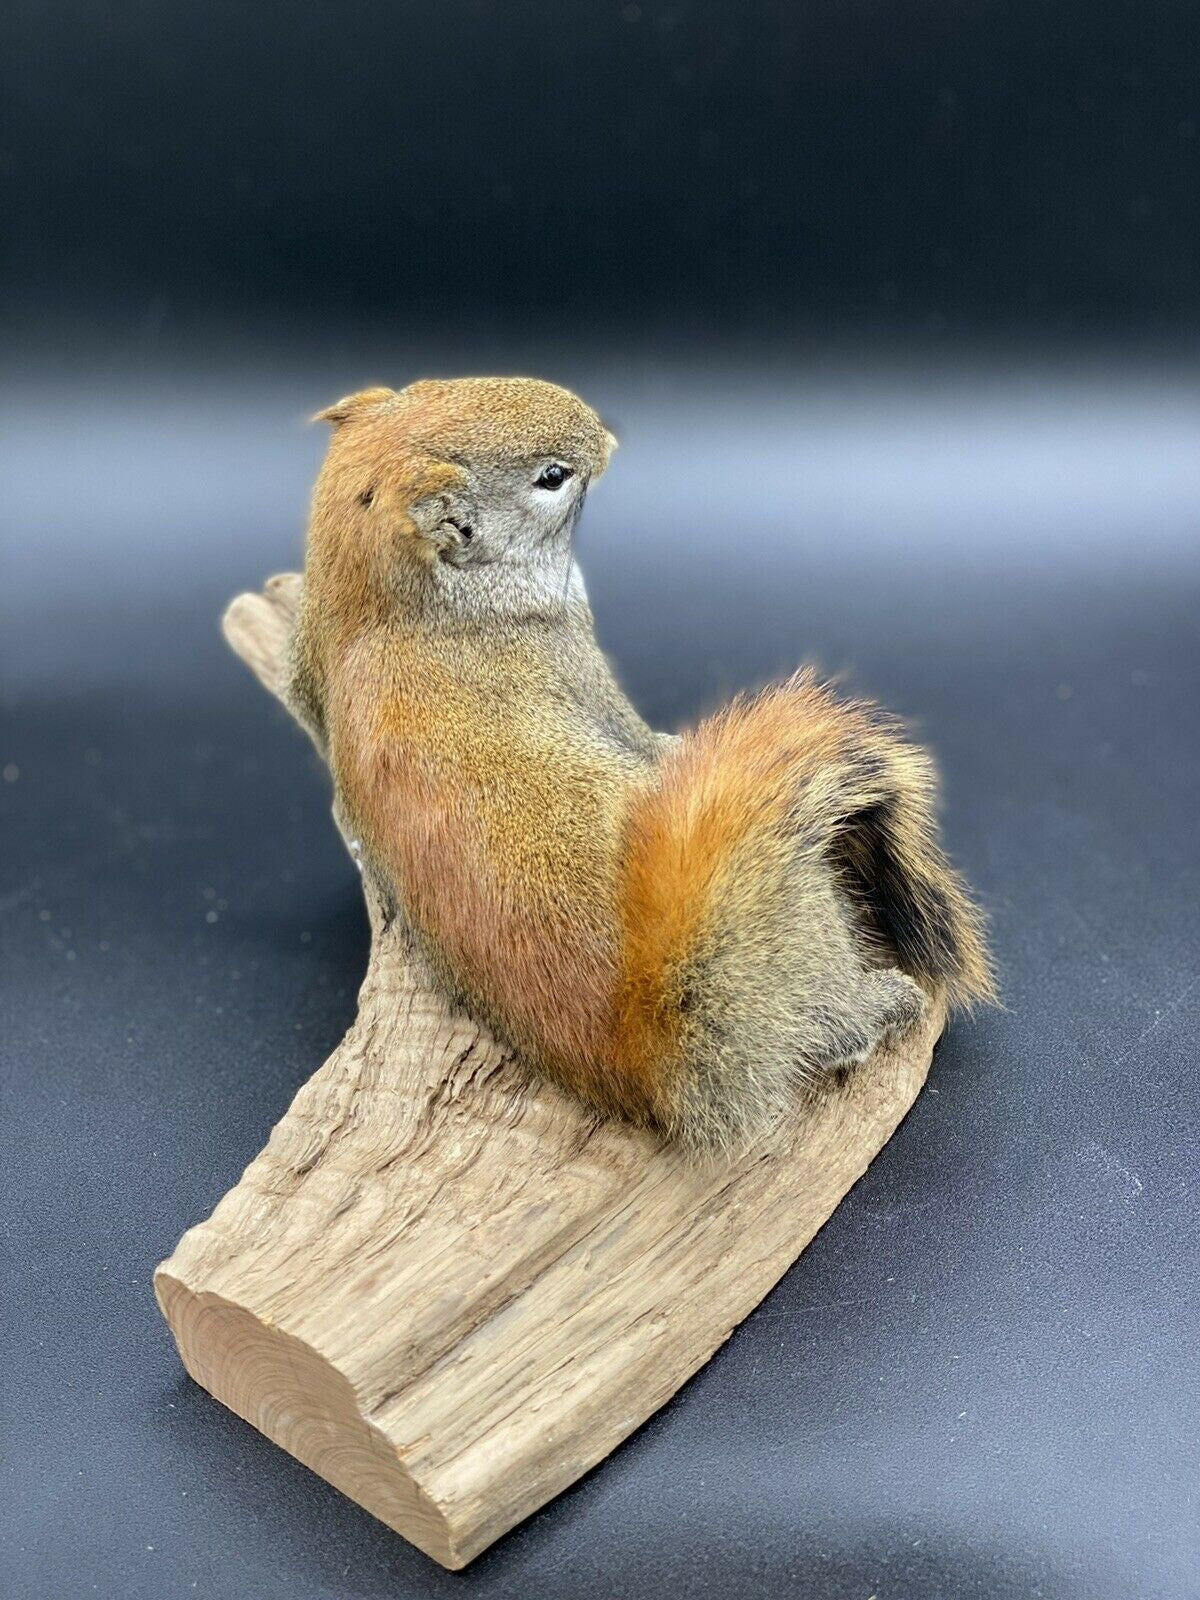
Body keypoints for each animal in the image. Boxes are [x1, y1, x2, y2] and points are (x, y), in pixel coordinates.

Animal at [290, 377, 994, 1154]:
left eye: (425, 388)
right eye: (551, 477)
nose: (606, 436)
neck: (389, 606)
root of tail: (646, 1043)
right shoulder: (577, 661)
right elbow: (645, 743)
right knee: (829, 1024)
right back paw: (881, 1006)